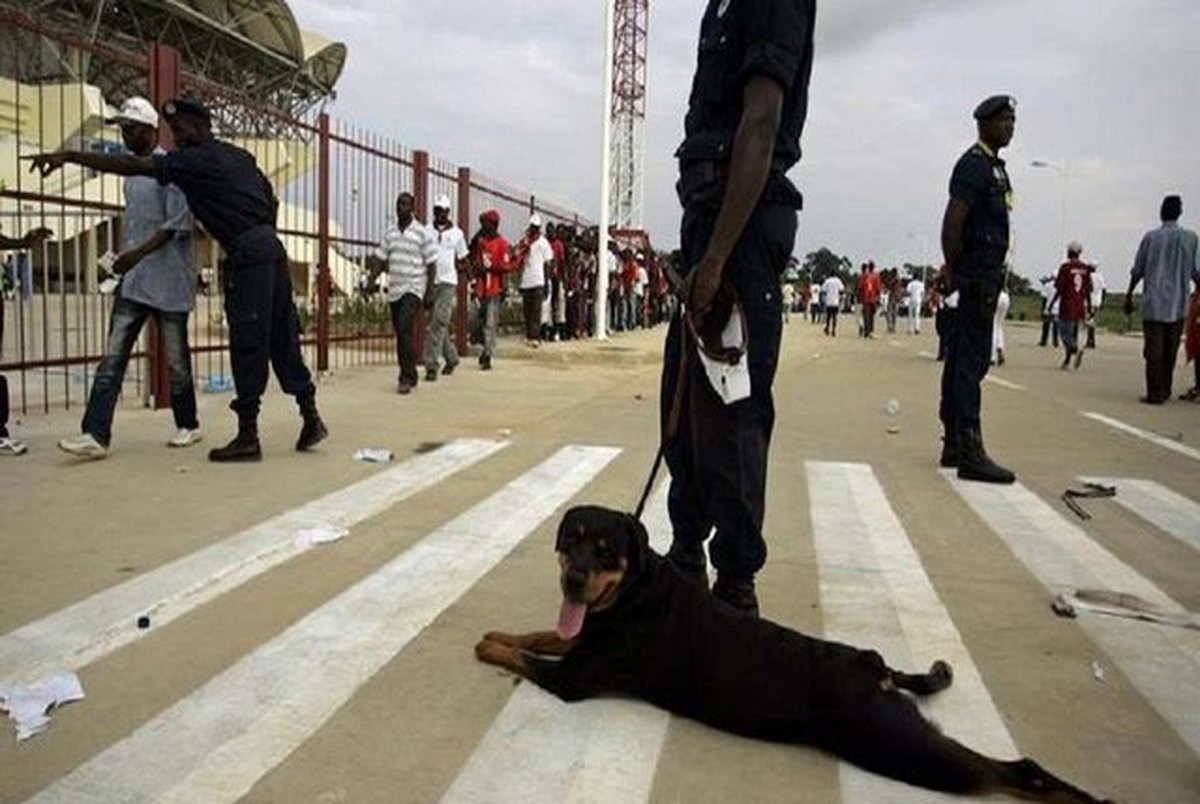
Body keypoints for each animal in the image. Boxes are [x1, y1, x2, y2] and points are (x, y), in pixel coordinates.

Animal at [472, 506, 1108, 801]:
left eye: (606, 551)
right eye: (571, 540)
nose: (574, 580)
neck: (632, 592)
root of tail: (871, 666)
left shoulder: (576, 679)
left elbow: (530, 657)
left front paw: (489, 644)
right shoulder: (584, 637)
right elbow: (539, 635)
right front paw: (501, 631)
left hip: (895, 745)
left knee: (1000, 773)